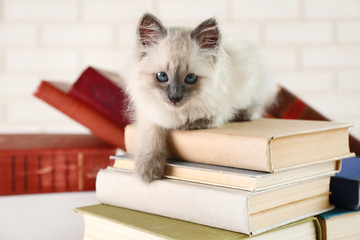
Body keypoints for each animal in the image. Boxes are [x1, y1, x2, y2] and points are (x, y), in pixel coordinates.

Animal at [125, 13, 274, 182]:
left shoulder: (218, 112)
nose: (174, 98)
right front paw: (148, 169)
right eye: (162, 76)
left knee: (256, 107)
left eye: (190, 78)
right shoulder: (149, 114)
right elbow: (152, 137)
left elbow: (189, 122)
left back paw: (245, 115)